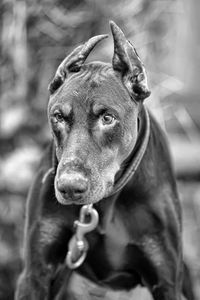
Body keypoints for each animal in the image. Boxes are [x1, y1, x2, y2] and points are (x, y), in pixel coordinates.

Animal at [14, 21, 195, 300]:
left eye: (107, 118)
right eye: (58, 116)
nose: (69, 187)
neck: (105, 203)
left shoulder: (165, 279)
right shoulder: (35, 274)